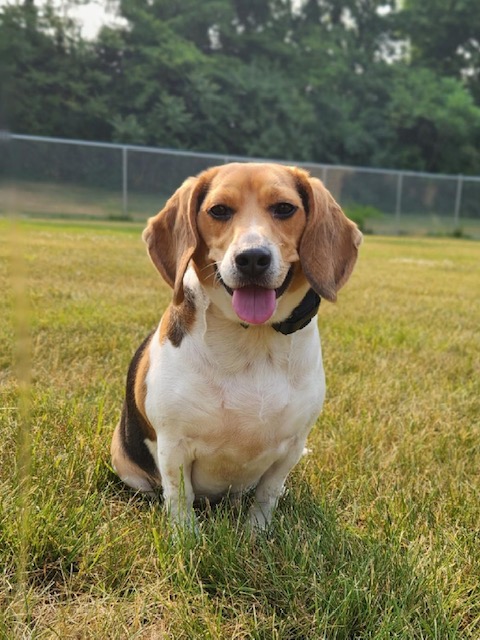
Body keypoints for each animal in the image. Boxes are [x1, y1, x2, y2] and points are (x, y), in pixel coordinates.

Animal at [111, 162, 362, 530]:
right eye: (219, 210)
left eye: (284, 208)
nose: (253, 258)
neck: (253, 338)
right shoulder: (173, 445)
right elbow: (180, 499)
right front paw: (186, 537)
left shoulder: (291, 447)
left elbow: (267, 495)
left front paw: (256, 533)